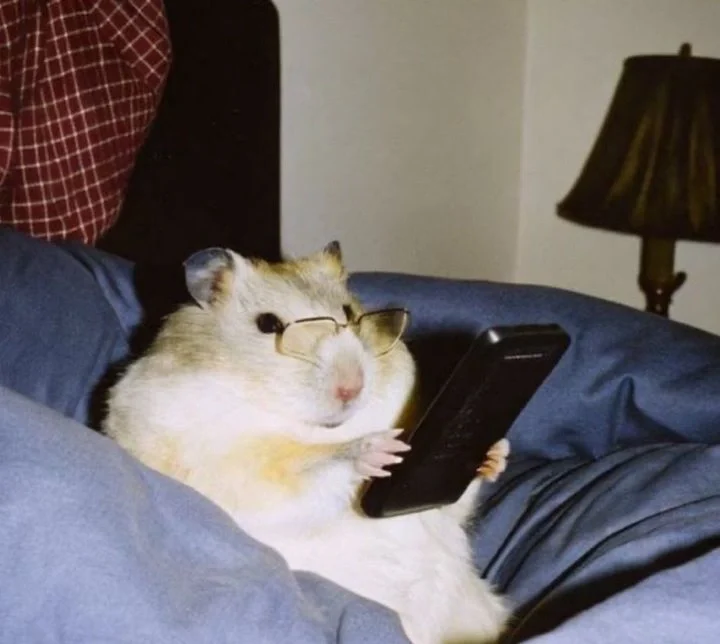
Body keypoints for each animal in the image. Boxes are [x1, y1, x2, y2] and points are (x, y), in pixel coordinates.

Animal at [103, 241, 510, 644]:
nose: (352, 387)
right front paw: (378, 449)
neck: (315, 428)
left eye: (349, 312)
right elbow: (313, 473)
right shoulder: (241, 474)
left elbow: (452, 503)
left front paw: (495, 453)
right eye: (268, 325)